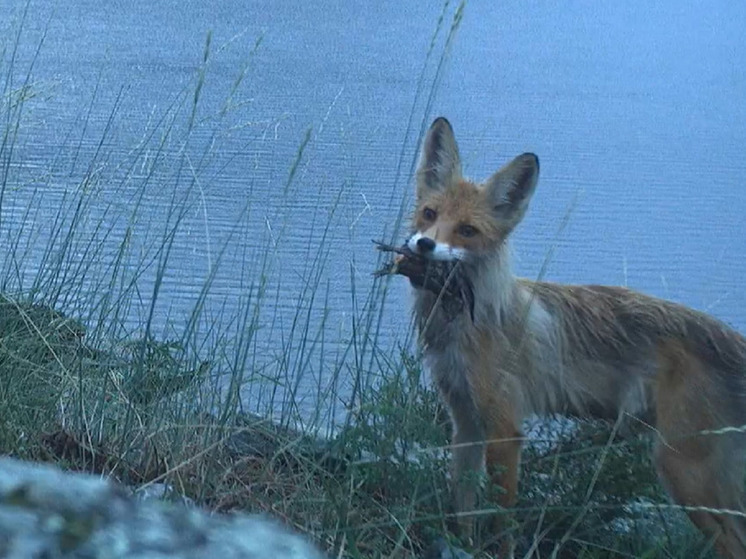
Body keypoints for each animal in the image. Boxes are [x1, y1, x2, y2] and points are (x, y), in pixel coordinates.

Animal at [404, 117, 744, 559]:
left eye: (467, 230)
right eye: (429, 214)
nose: (425, 244)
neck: (467, 323)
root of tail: (727, 336)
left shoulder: (504, 428)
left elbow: (502, 525)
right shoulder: (465, 423)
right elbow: (463, 510)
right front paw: (460, 546)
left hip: (685, 474)